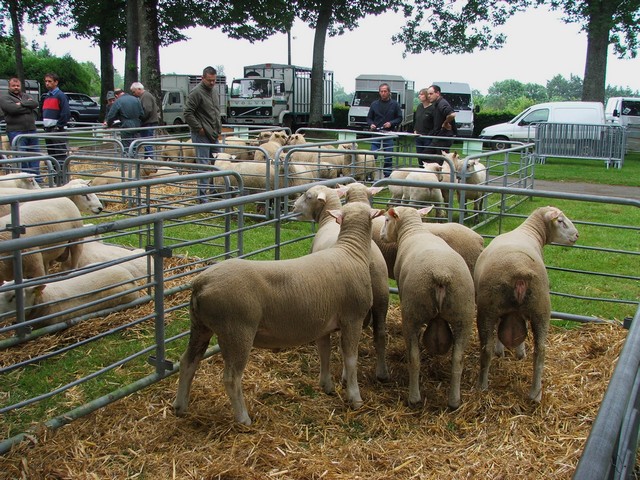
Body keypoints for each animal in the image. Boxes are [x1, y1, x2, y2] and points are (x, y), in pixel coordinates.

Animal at [175, 201, 382, 426]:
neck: (351, 251)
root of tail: (200, 283)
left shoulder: (322, 323)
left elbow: (324, 353)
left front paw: (326, 386)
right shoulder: (353, 318)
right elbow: (351, 359)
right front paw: (355, 398)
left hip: (200, 326)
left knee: (188, 362)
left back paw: (180, 407)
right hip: (237, 330)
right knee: (231, 378)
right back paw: (243, 418)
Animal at [292, 184, 390, 382]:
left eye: (308, 196)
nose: (293, 205)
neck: (329, 220)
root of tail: (370, 261)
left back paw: (345, 375)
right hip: (382, 296)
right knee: (380, 334)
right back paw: (382, 372)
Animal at [380, 206, 476, 408]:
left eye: (386, 220)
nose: (381, 235)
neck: (414, 230)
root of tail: (441, 274)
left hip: (413, 312)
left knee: (414, 358)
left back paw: (414, 398)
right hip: (463, 313)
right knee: (458, 360)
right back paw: (454, 402)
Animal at [476, 205, 580, 402]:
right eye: (560, 221)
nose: (577, 235)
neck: (529, 232)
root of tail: (519, 272)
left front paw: (503, 352)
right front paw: (517, 352)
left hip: (492, 308)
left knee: (488, 349)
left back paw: (486, 387)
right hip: (540, 308)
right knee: (540, 352)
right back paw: (534, 393)